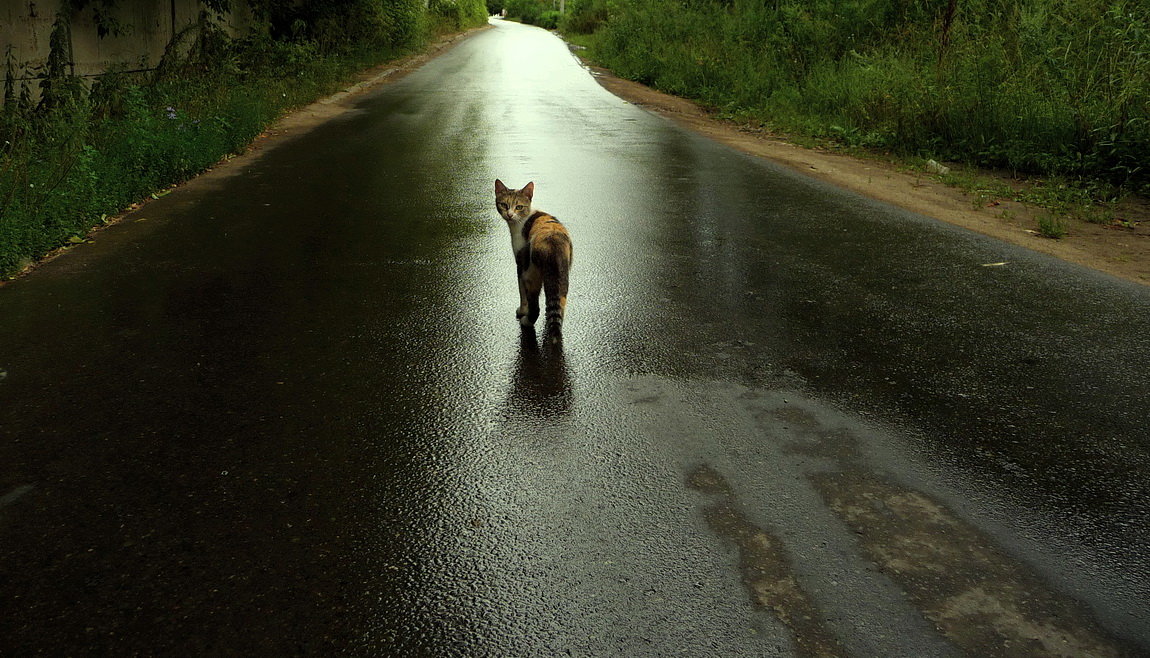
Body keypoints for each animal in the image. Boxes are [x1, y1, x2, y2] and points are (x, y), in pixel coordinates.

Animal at [492, 177, 572, 335]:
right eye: (504, 204)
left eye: (519, 207)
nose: (509, 214)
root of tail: (552, 242)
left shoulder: (520, 264)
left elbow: (521, 293)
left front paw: (522, 311)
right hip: (562, 278)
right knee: (559, 306)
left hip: (531, 274)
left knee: (535, 306)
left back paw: (526, 321)